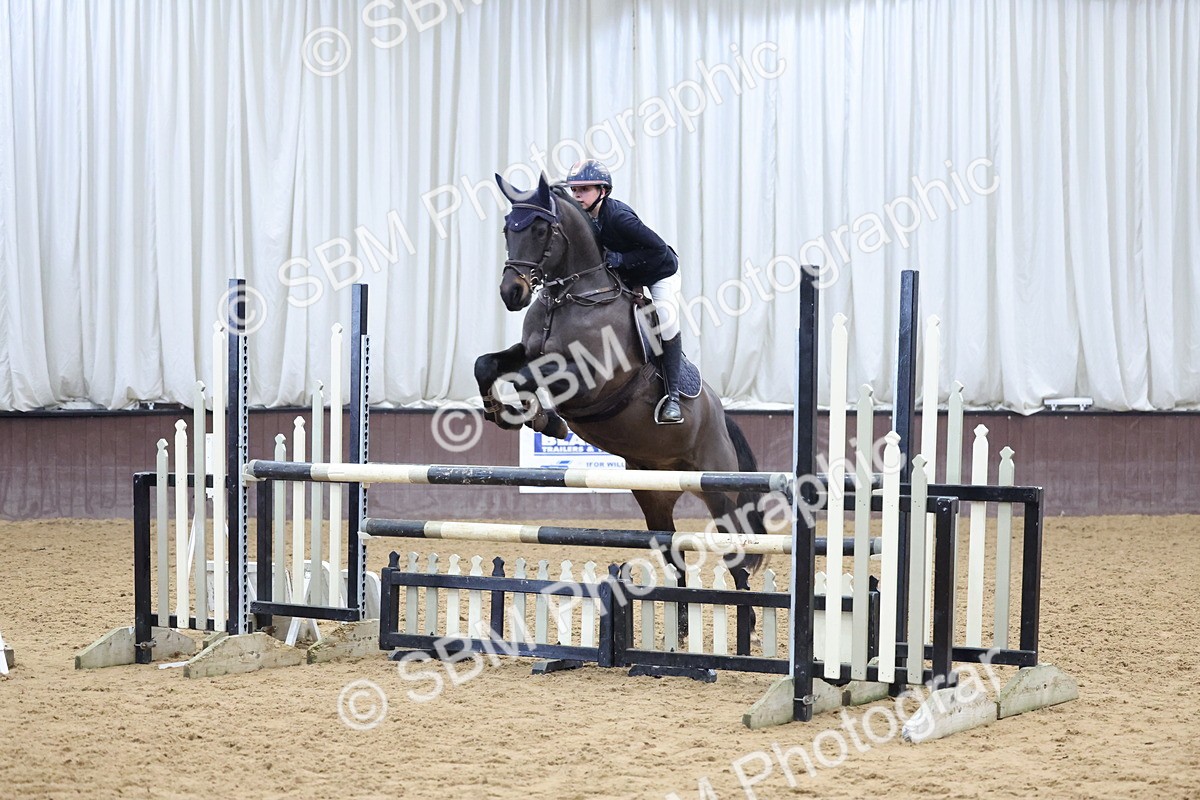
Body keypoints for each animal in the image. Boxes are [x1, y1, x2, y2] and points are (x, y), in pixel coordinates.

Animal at [474, 172, 770, 619]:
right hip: (653, 495)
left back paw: (748, 619)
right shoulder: (527, 352)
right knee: (674, 553)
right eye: (509, 228)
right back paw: (683, 623)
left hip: (716, 487)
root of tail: (720, 414)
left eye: (541, 230)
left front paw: (540, 417)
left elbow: (531, 378)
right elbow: (487, 365)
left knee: (735, 551)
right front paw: (499, 409)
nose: (513, 292)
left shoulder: (589, 378)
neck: (571, 297)